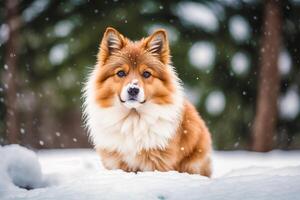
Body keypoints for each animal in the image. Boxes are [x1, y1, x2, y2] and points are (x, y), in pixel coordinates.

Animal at [83, 26, 212, 177]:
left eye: (146, 74)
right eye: (120, 73)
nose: (133, 90)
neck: (133, 118)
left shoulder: (158, 162)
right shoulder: (117, 162)